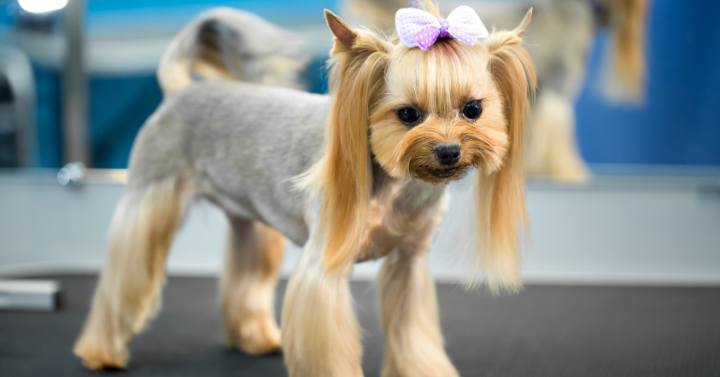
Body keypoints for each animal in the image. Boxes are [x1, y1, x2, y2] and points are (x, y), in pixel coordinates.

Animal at [73, 1, 536, 374]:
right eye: (407, 114)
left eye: (473, 109)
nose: (448, 151)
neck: (398, 186)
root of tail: (180, 91)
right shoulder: (323, 267)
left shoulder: (408, 263)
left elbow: (414, 336)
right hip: (148, 199)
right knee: (125, 274)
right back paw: (101, 351)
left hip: (247, 219)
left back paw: (255, 338)